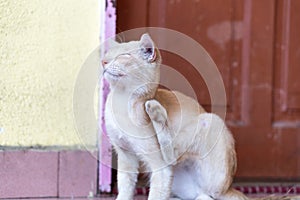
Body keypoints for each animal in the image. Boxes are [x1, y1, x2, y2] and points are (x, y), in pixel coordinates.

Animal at [101, 33, 296, 200]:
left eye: (124, 56)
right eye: (108, 55)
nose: (103, 61)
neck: (121, 102)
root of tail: (229, 189)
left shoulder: (160, 168)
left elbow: (156, 193)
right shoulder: (126, 158)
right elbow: (125, 191)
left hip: (209, 121)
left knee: (172, 156)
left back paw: (155, 110)